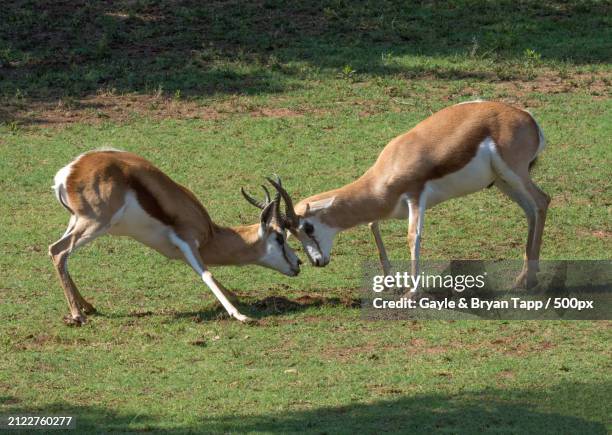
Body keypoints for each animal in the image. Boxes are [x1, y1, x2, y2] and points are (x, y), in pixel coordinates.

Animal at [47, 149, 302, 324]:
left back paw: (88, 307)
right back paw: (78, 315)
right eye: (280, 237)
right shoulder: (187, 240)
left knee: (58, 252)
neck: (210, 234)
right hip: (95, 224)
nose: (298, 263)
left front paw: (235, 300)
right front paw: (239, 315)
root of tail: (69, 172)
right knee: (59, 251)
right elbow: (207, 274)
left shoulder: (182, 252)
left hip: (77, 221)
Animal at [272, 101, 548, 290]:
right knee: (530, 211)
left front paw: (411, 294)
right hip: (502, 181)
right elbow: (372, 225)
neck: (390, 165)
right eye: (292, 234)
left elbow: (413, 236)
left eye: (308, 228)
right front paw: (390, 282)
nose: (317, 261)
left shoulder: (416, 196)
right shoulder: (385, 207)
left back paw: (530, 279)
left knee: (542, 201)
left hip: (514, 173)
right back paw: (524, 277)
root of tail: (529, 118)